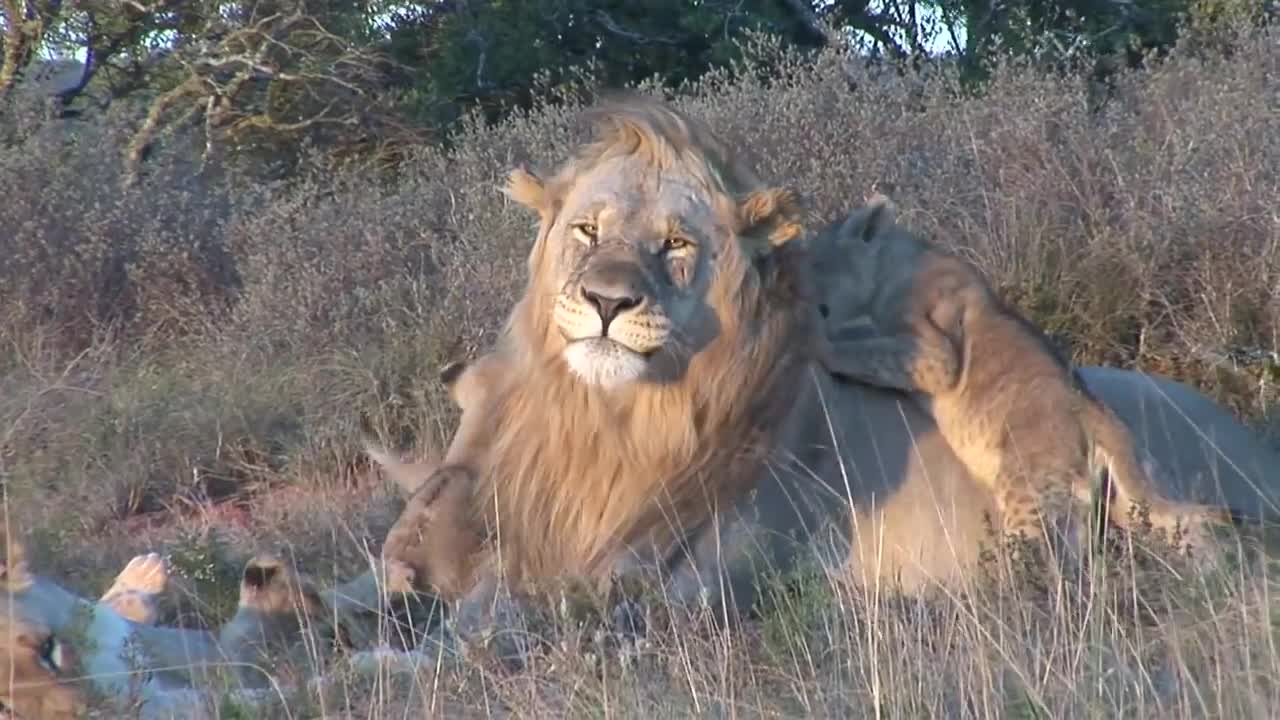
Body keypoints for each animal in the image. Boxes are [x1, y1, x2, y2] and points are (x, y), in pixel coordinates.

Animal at [808, 192, 1239, 561]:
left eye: (814, 261)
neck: (889, 265)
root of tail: (1104, 423)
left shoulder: (936, 354)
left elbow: (861, 349)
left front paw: (819, 340)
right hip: (1129, 500)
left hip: (1029, 496)